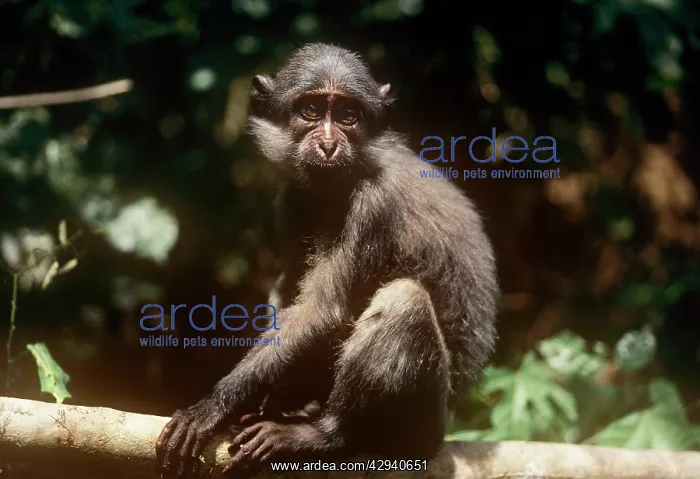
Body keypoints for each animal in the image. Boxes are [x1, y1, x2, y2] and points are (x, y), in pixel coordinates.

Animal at [156, 43, 499, 478]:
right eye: (311, 110)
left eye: (349, 115)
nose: (329, 144)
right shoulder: (290, 198)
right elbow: (289, 293)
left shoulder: (375, 203)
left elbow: (321, 310)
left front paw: (213, 406)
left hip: (422, 431)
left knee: (403, 299)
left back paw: (328, 435)